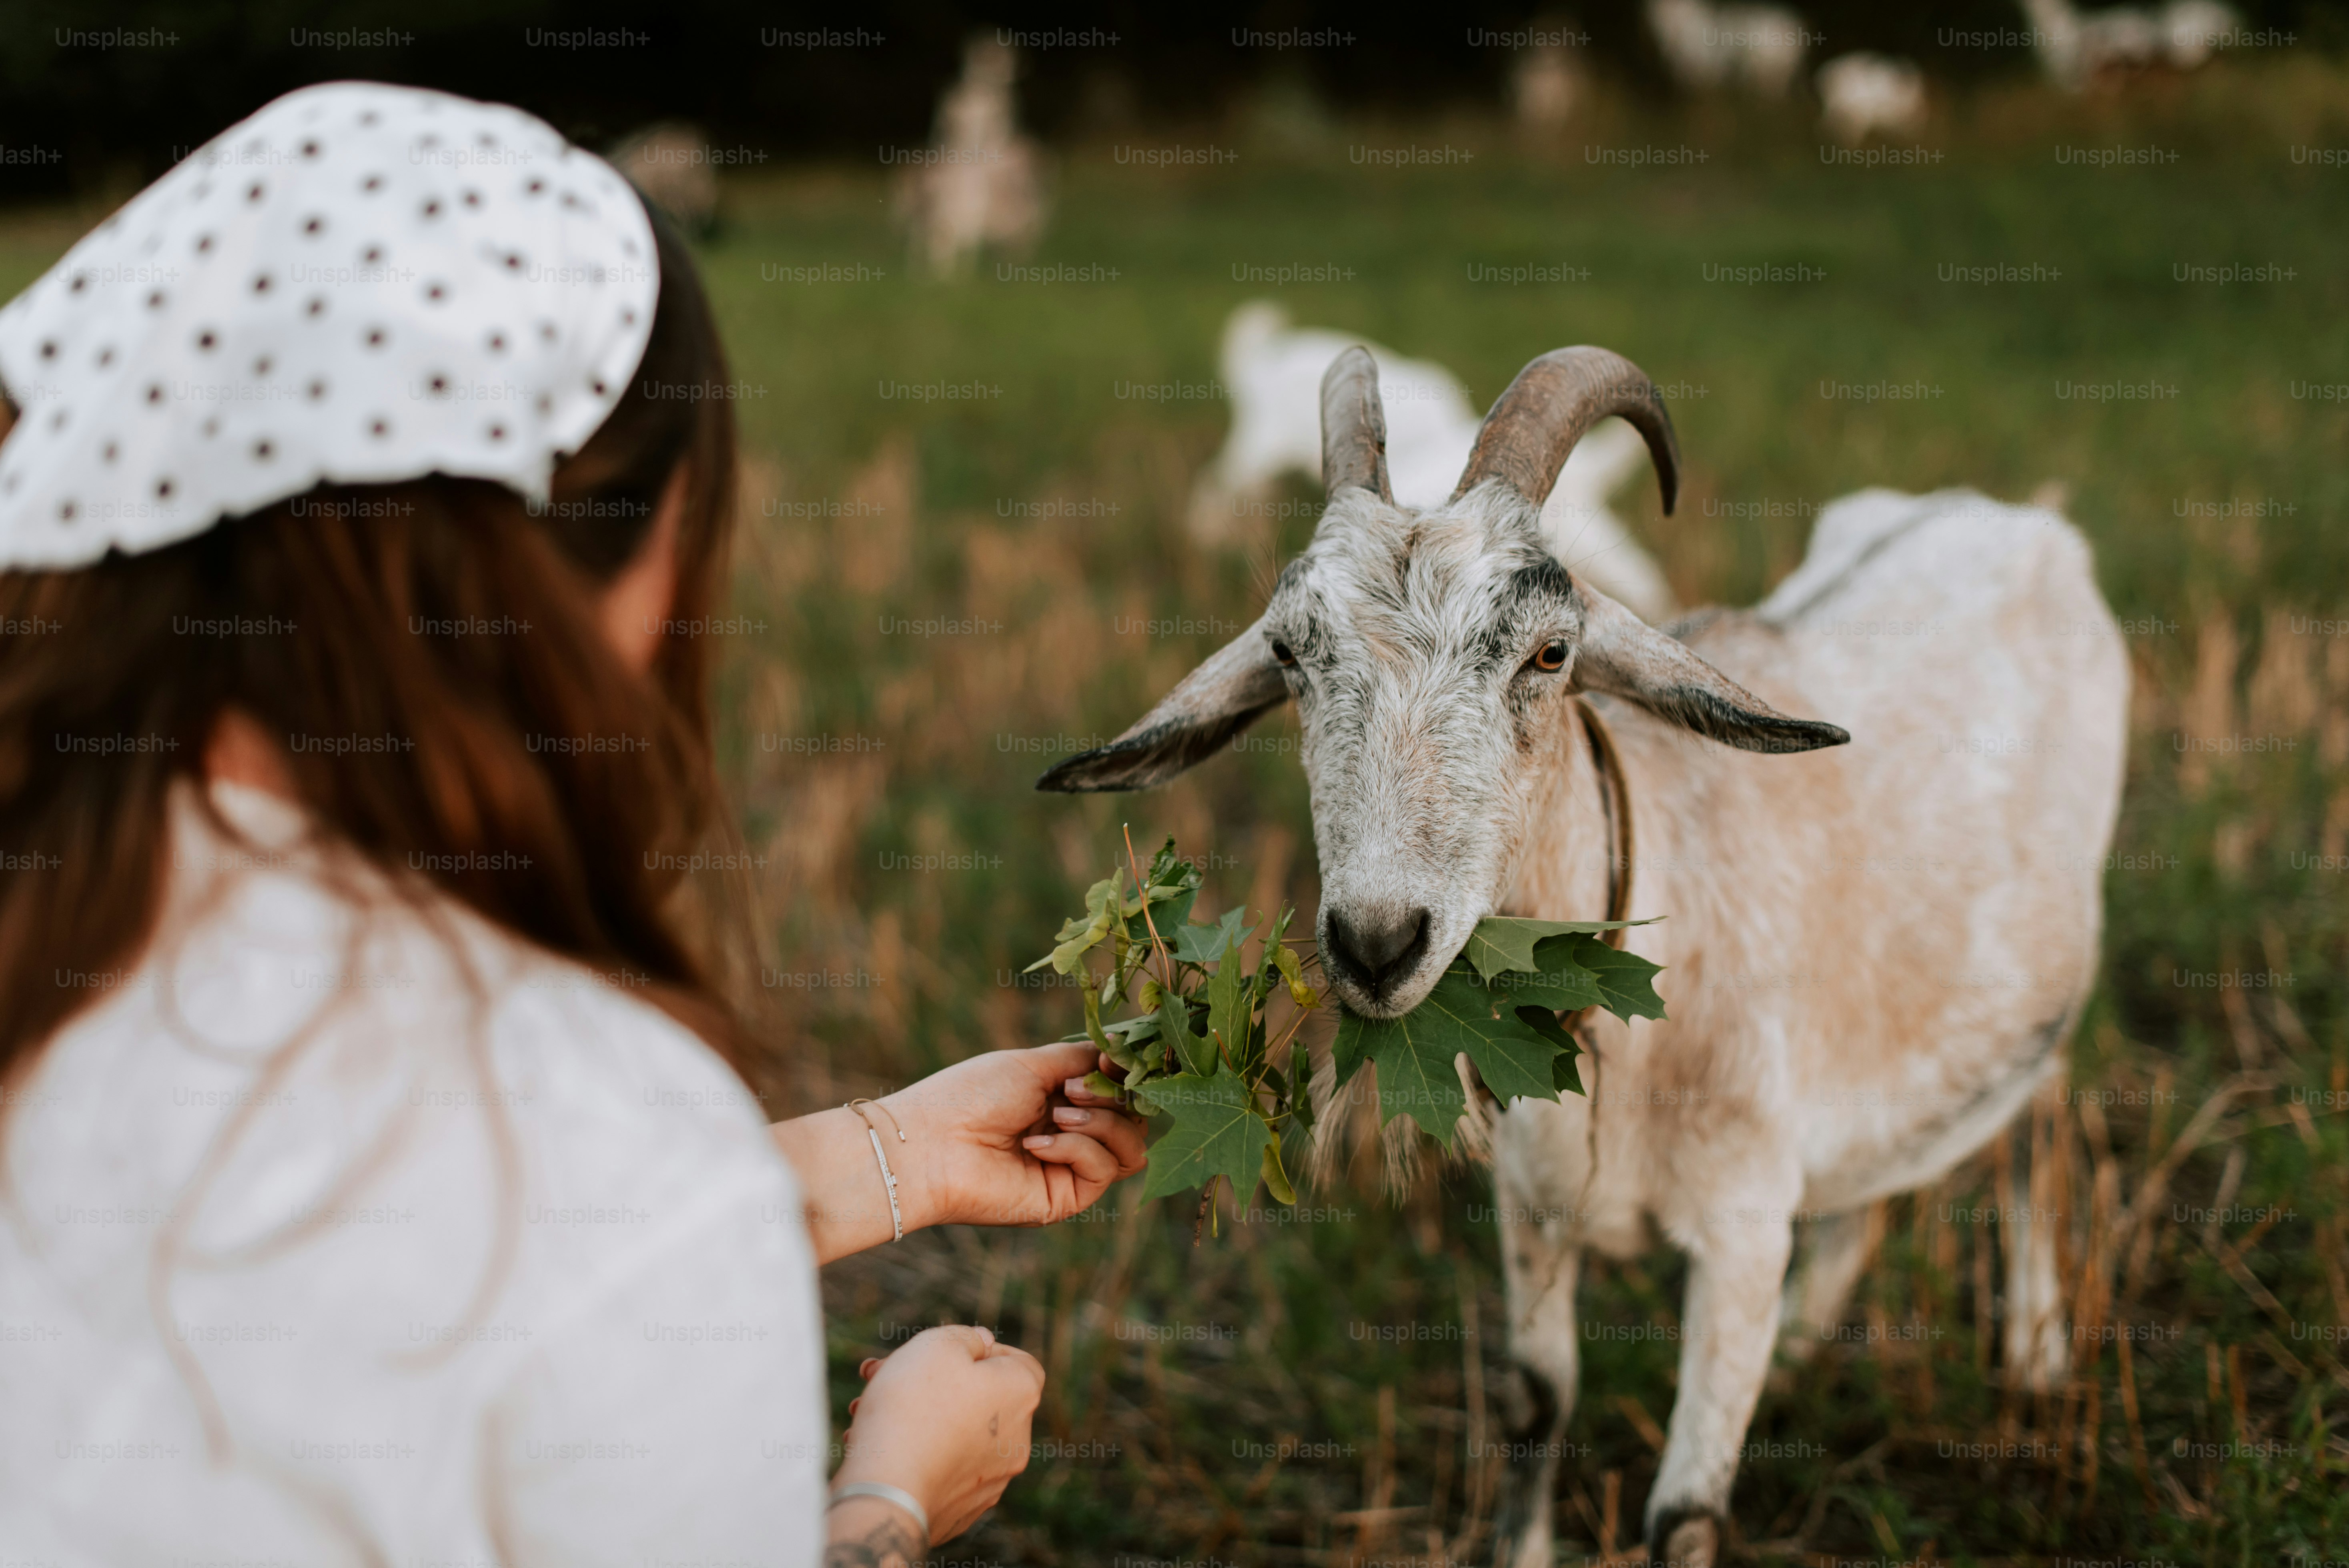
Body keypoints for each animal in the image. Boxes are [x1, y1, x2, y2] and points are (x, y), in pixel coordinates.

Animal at [1040, 346, 2129, 1565]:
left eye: (1549, 651)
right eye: (1286, 653)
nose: (1377, 942)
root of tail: (2017, 515)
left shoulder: (1740, 1226)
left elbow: (1682, 1512)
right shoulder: (1530, 1202)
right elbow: (1534, 1400)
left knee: (2037, 1119)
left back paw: (2034, 1351)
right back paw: (1812, 1339)